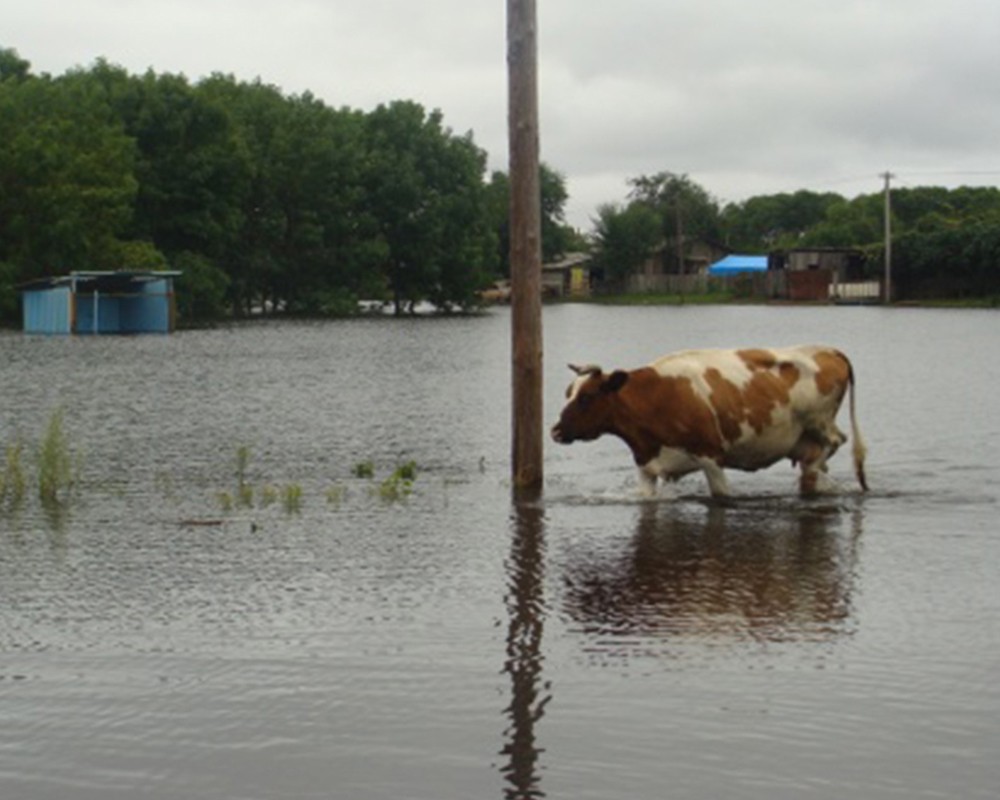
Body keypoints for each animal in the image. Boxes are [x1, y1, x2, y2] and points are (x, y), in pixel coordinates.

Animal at [552, 346, 872, 496]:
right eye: (568, 393)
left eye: (586, 397)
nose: (555, 431)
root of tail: (828, 350)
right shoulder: (646, 466)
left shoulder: (711, 457)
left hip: (820, 421)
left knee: (837, 440)